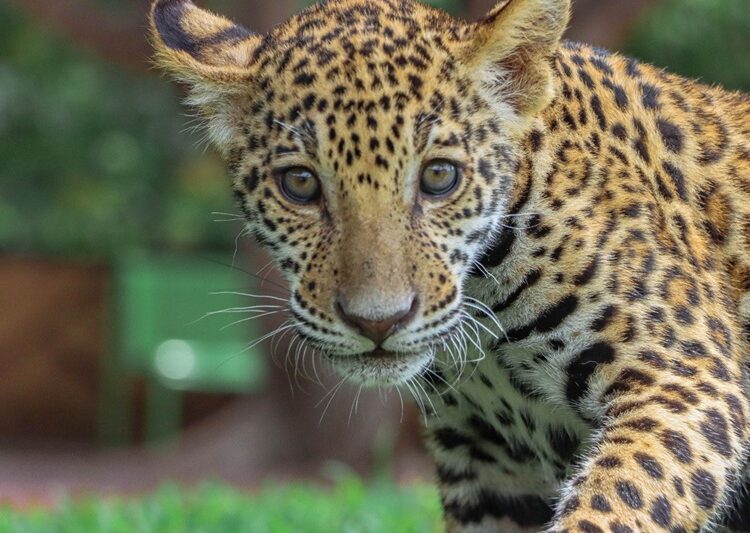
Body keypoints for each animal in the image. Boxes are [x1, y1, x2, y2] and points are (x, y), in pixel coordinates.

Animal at [149, 0, 750, 530]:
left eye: (439, 176)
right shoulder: (492, 467)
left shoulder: (681, 380)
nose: (377, 322)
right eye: (299, 184)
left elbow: (617, 505)